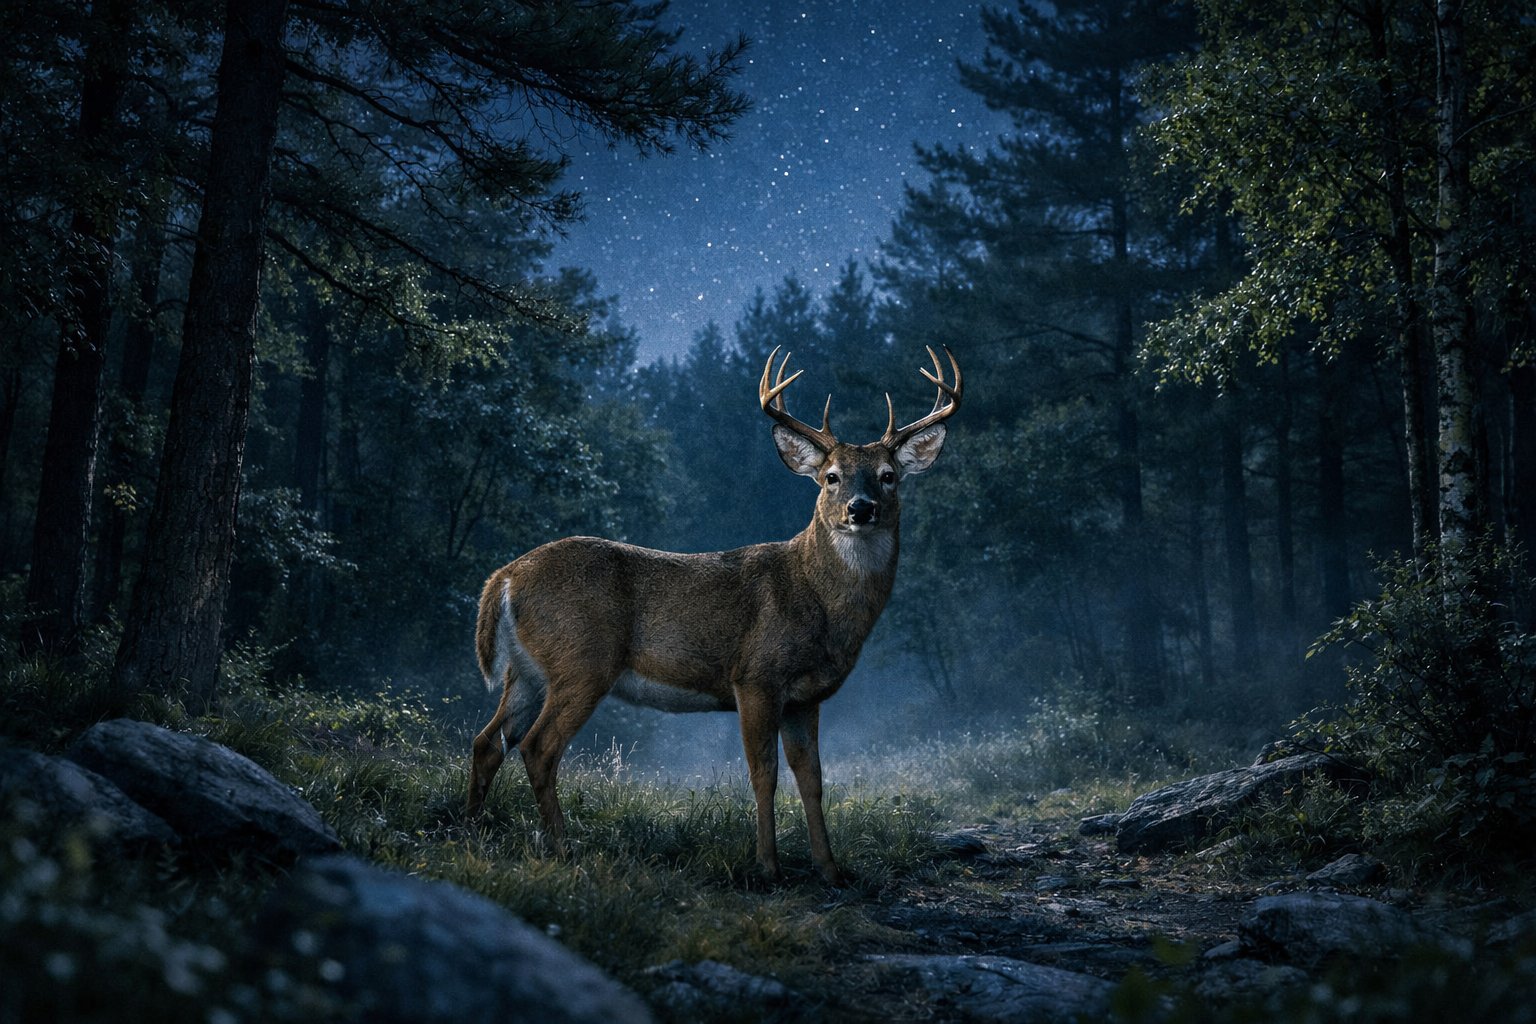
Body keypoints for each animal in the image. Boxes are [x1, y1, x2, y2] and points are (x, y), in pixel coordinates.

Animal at [466, 345, 961, 883]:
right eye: (831, 477)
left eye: (889, 477)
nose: (860, 508)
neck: (816, 598)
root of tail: (504, 578)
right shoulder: (755, 676)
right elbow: (763, 774)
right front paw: (768, 866)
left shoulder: (805, 697)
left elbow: (812, 779)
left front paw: (829, 868)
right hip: (582, 660)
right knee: (539, 747)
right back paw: (562, 847)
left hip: (527, 671)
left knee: (488, 741)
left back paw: (469, 828)